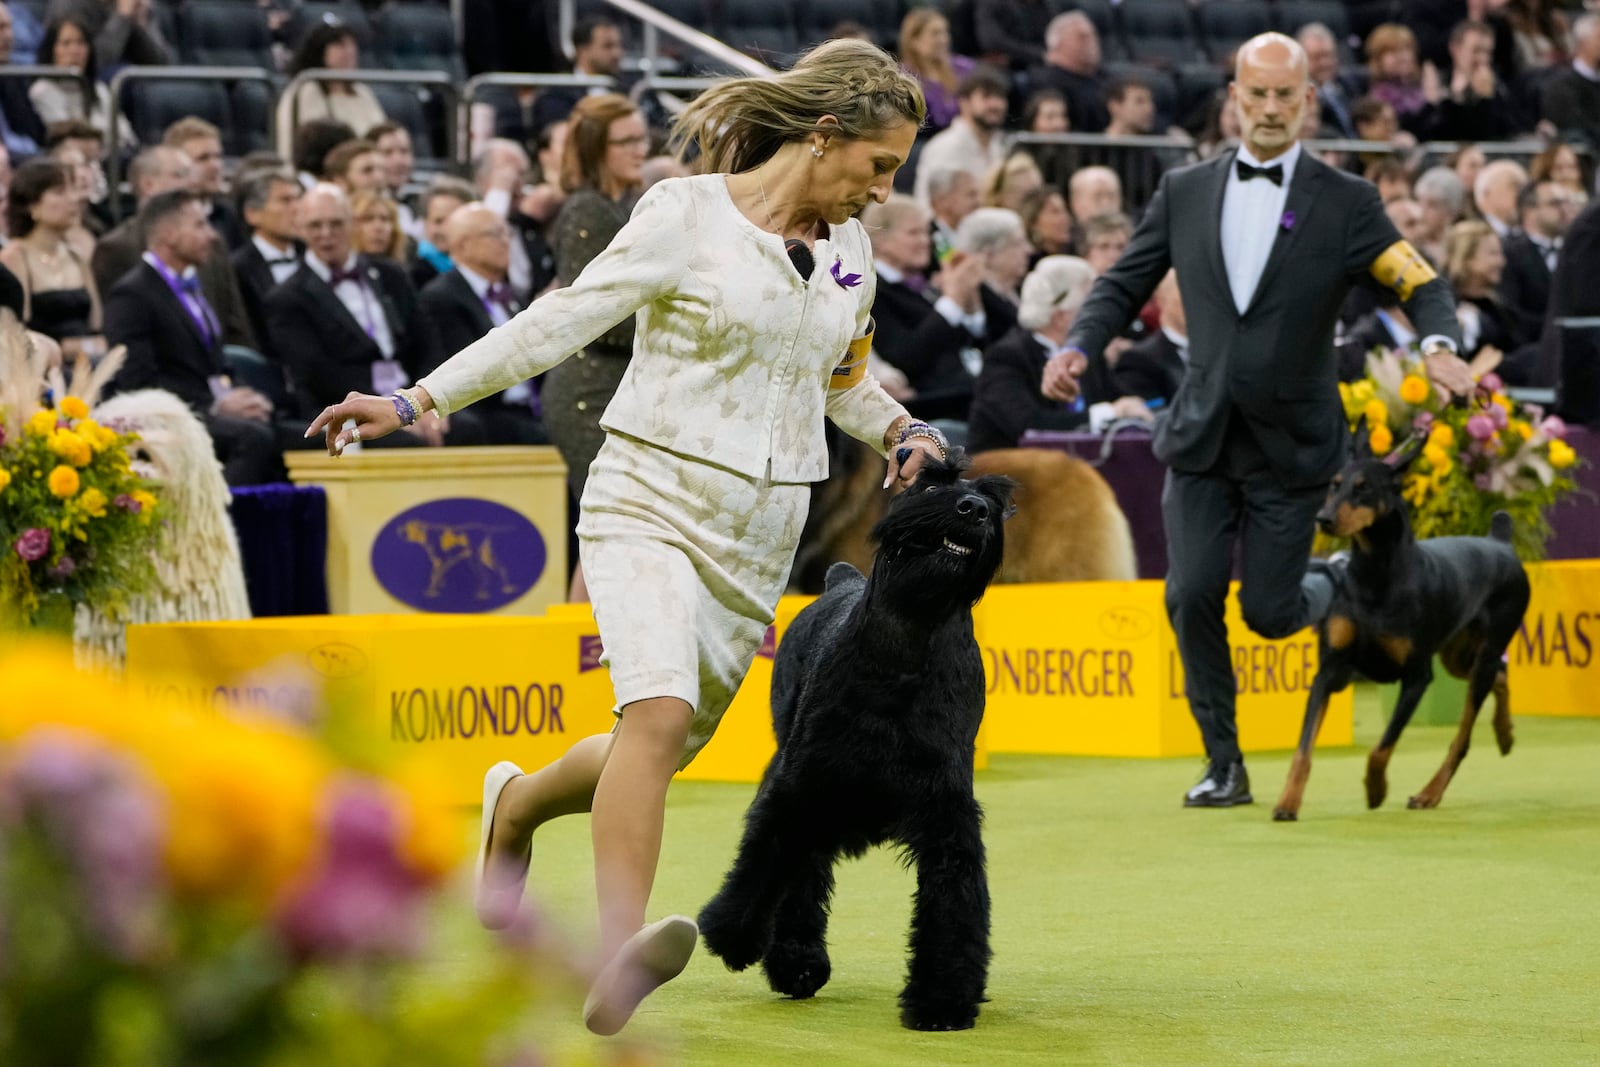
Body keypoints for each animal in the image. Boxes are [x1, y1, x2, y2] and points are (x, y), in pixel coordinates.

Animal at [700, 454, 1011, 1036]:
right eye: (931, 482)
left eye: (998, 499)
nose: (974, 509)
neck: (908, 636)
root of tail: (839, 580)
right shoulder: (799, 787)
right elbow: (762, 864)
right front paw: (732, 933)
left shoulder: (947, 813)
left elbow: (953, 903)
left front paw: (942, 999)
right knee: (800, 873)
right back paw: (795, 961)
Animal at [1267, 438, 1529, 825]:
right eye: (1334, 484)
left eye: (1364, 487)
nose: (1323, 519)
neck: (1374, 573)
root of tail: (1501, 542)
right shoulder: (1330, 671)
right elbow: (1303, 749)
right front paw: (1287, 802)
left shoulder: (1417, 677)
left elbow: (1382, 746)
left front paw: (1376, 790)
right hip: (1458, 654)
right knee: (1499, 672)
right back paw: (1505, 733)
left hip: (1486, 644)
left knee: (1464, 734)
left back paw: (1429, 793)